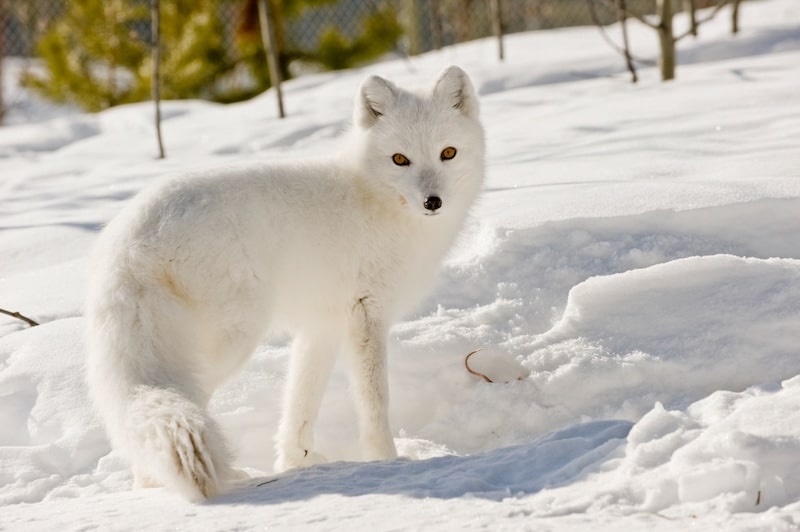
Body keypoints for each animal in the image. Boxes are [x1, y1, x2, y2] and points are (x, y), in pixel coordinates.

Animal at [88, 65, 488, 498]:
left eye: (448, 153)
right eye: (400, 160)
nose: (433, 202)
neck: (375, 199)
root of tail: (130, 241)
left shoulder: (323, 326)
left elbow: (301, 400)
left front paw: (296, 461)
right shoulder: (367, 316)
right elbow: (374, 401)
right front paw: (388, 460)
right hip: (232, 339)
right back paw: (160, 482)